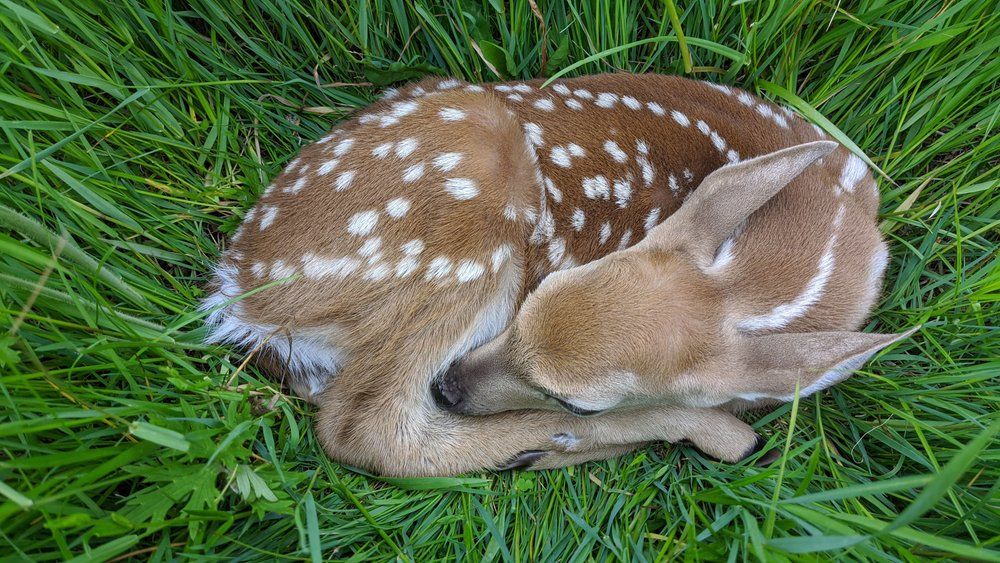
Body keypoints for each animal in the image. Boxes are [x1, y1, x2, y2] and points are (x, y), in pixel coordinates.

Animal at [199, 70, 912, 476]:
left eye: (578, 396)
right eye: (539, 290)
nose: (452, 388)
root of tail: (238, 289)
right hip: (469, 210)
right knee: (365, 428)